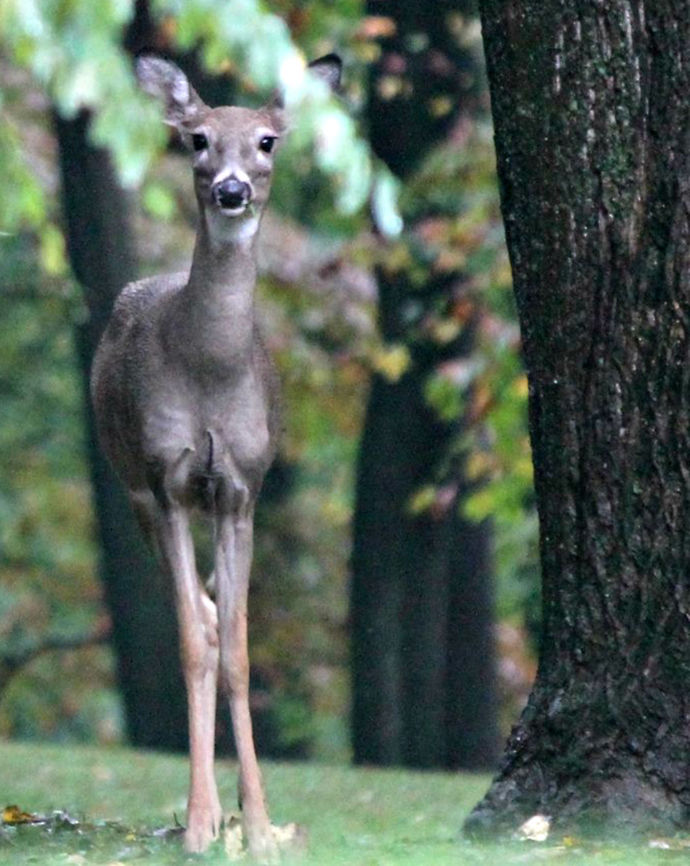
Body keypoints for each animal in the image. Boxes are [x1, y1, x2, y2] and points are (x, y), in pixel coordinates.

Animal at [90, 52, 342, 862]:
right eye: (196, 138)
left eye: (267, 140)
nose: (232, 189)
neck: (208, 367)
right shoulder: (168, 483)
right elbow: (194, 648)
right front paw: (201, 824)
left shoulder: (242, 491)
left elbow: (238, 654)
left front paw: (259, 823)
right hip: (131, 488)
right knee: (196, 617)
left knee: (212, 617)